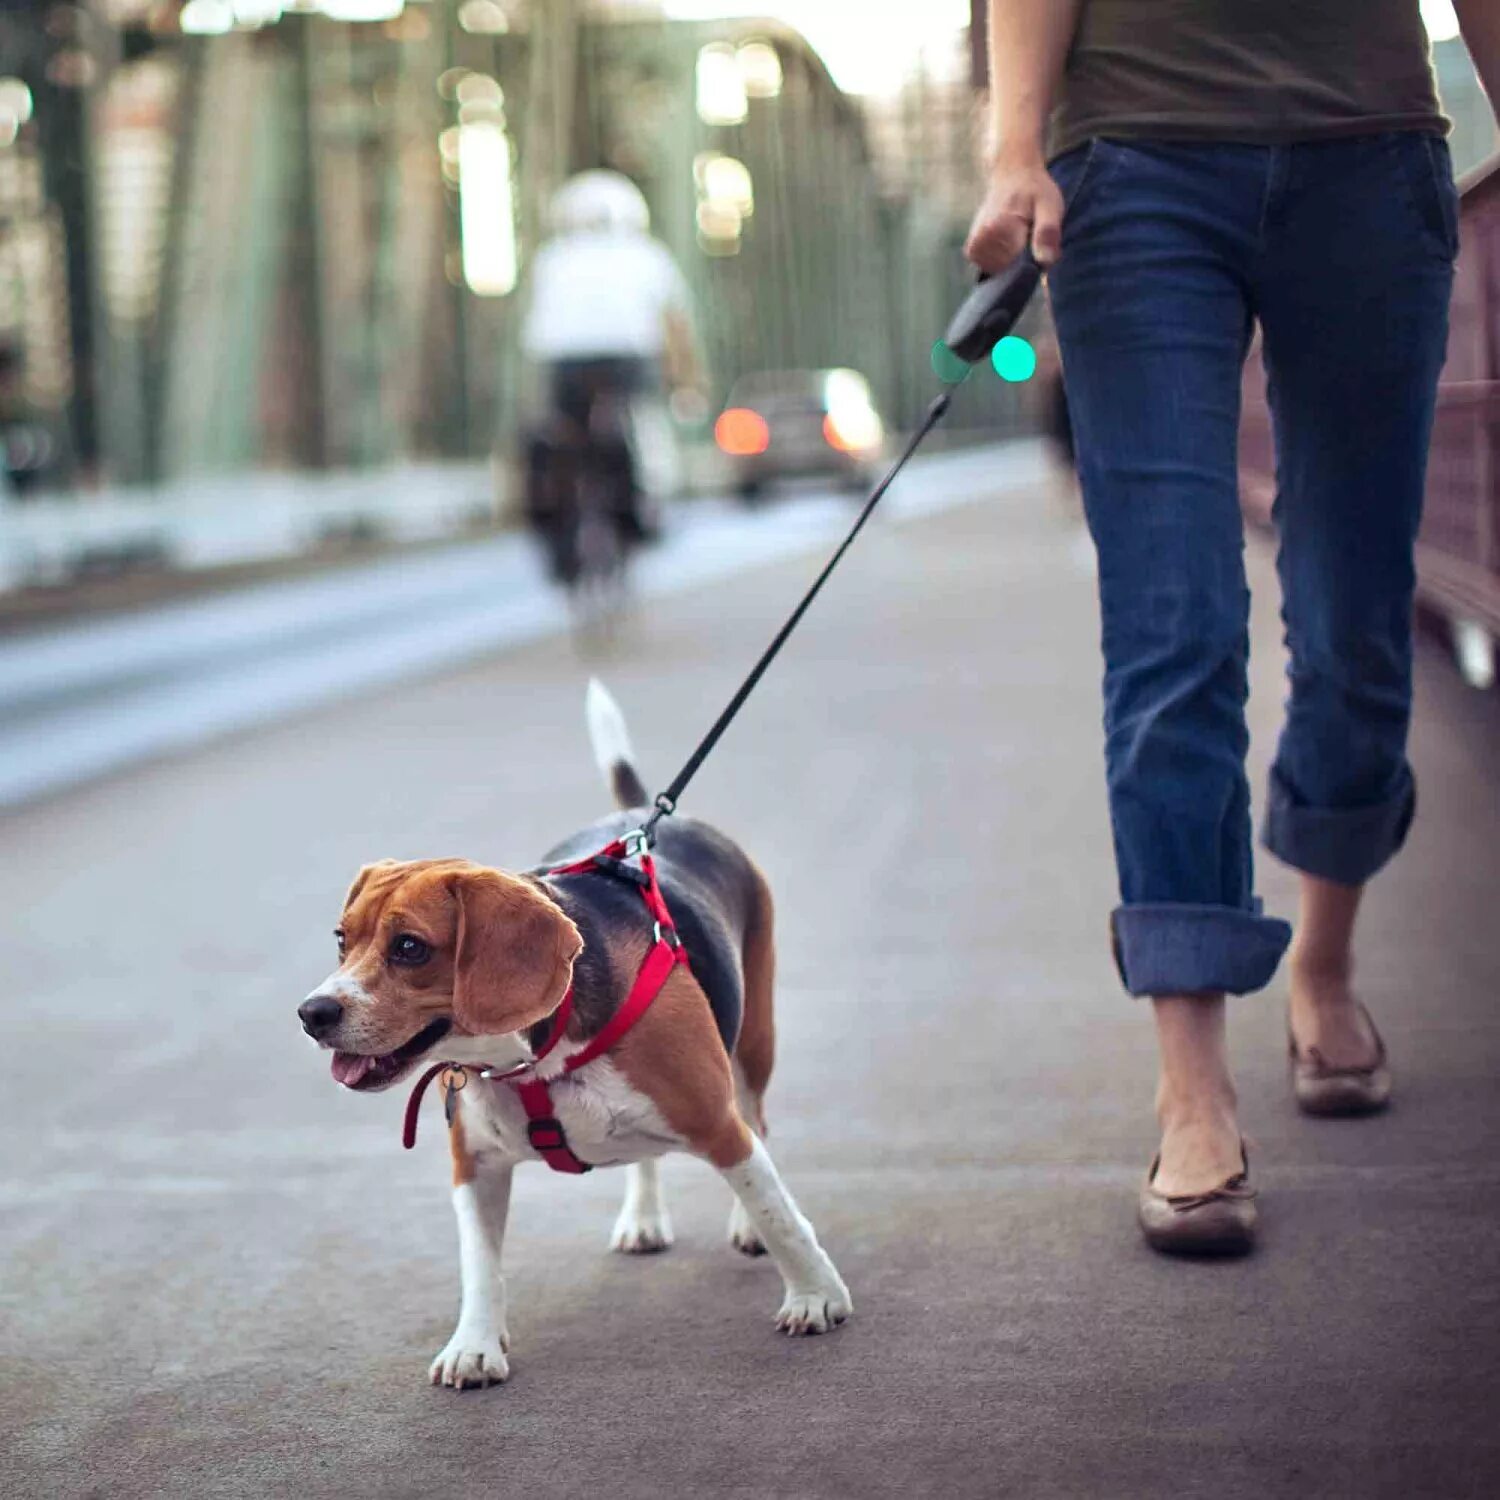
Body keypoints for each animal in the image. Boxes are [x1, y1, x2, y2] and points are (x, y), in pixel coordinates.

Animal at [298, 687, 852, 1386]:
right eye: (342, 940)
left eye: (409, 948)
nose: (311, 1013)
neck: (533, 1054)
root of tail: (642, 815)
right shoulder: (473, 1164)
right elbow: (479, 1266)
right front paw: (474, 1344)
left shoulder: (716, 1122)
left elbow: (778, 1212)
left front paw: (816, 1296)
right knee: (646, 1155)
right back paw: (642, 1217)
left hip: (753, 1043)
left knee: (758, 1124)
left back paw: (745, 1226)